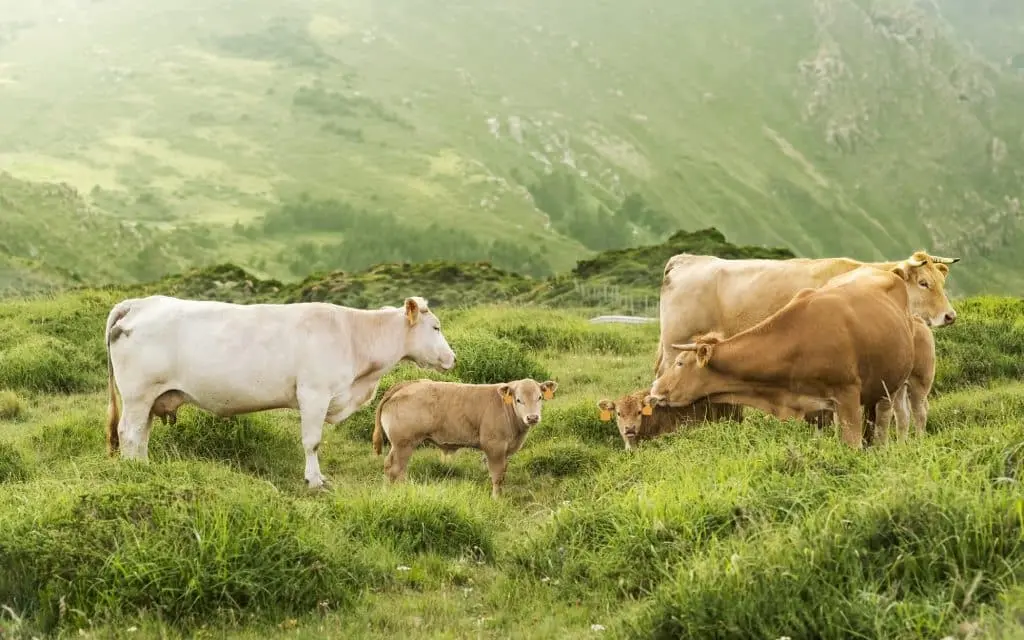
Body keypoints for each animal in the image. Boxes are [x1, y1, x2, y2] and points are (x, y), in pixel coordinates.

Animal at [104, 295, 456, 489]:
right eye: (436, 327)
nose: (453, 358)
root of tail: (140, 303)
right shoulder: (314, 393)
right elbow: (312, 442)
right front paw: (315, 480)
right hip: (137, 395)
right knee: (129, 433)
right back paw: (136, 471)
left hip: (150, 397)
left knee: (141, 434)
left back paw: (145, 467)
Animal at [372, 377, 558, 497]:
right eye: (518, 400)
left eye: (539, 397)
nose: (532, 417)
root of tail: (406, 385)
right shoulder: (494, 447)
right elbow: (497, 474)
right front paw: (496, 499)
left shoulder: (505, 451)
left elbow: (503, 473)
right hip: (404, 443)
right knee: (396, 469)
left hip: (400, 445)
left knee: (393, 467)